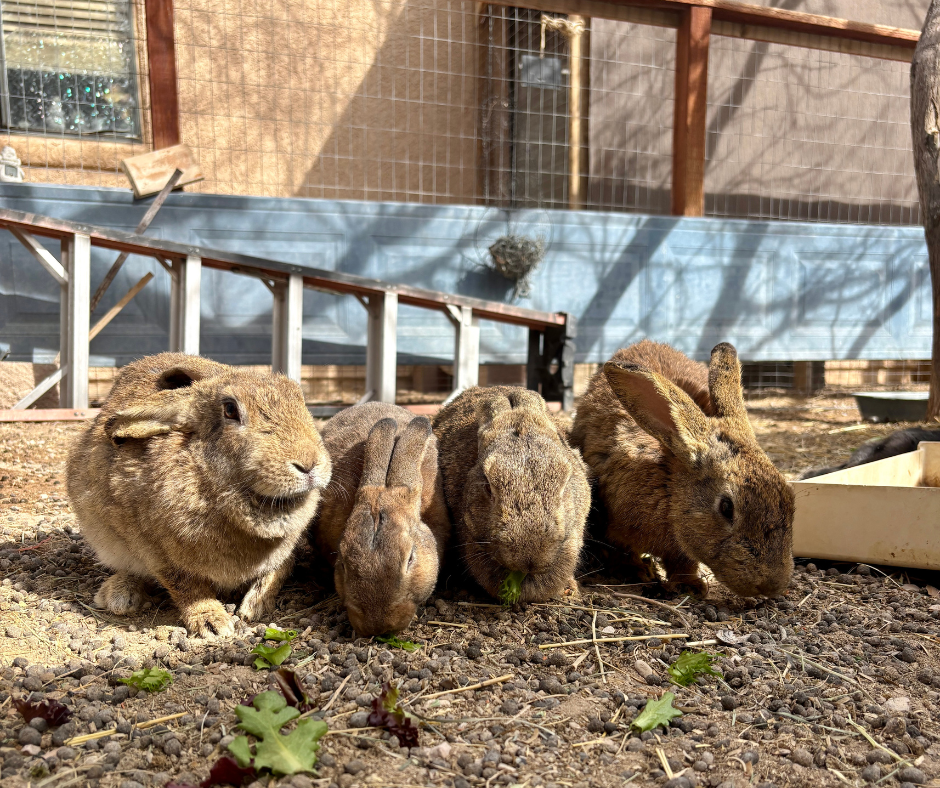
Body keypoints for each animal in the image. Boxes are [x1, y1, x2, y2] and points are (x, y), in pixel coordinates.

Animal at [67, 354, 330, 636]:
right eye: (230, 409)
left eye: (300, 399)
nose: (309, 463)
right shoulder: (155, 551)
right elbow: (185, 584)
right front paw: (212, 623)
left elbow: (279, 570)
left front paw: (254, 607)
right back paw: (118, 596)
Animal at [568, 338, 796, 596]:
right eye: (726, 507)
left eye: (790, 498)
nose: (772, 584)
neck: (671, 487)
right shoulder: (614, 527)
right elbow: (622, 551)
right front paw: (634, 572)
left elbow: (682, 562)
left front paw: (690, 586)